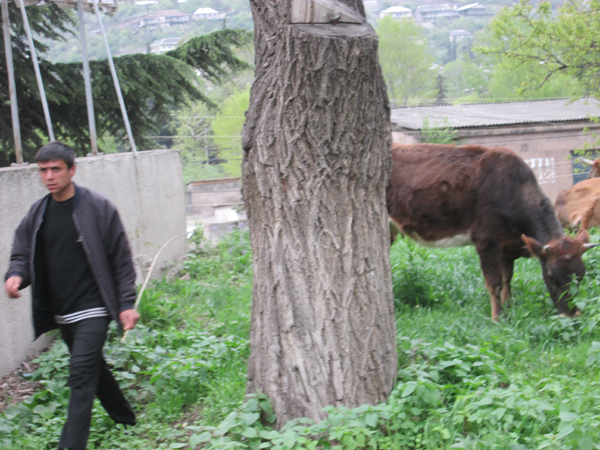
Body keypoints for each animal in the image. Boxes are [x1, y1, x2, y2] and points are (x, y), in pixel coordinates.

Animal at [387, 143, 598, 321]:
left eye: (581, 276)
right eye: (552, 276)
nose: (573, 315)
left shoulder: (508, 247)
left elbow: (507, 278)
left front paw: (509, 306)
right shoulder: (487, 240)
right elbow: (494, 282)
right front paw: (498, 317)